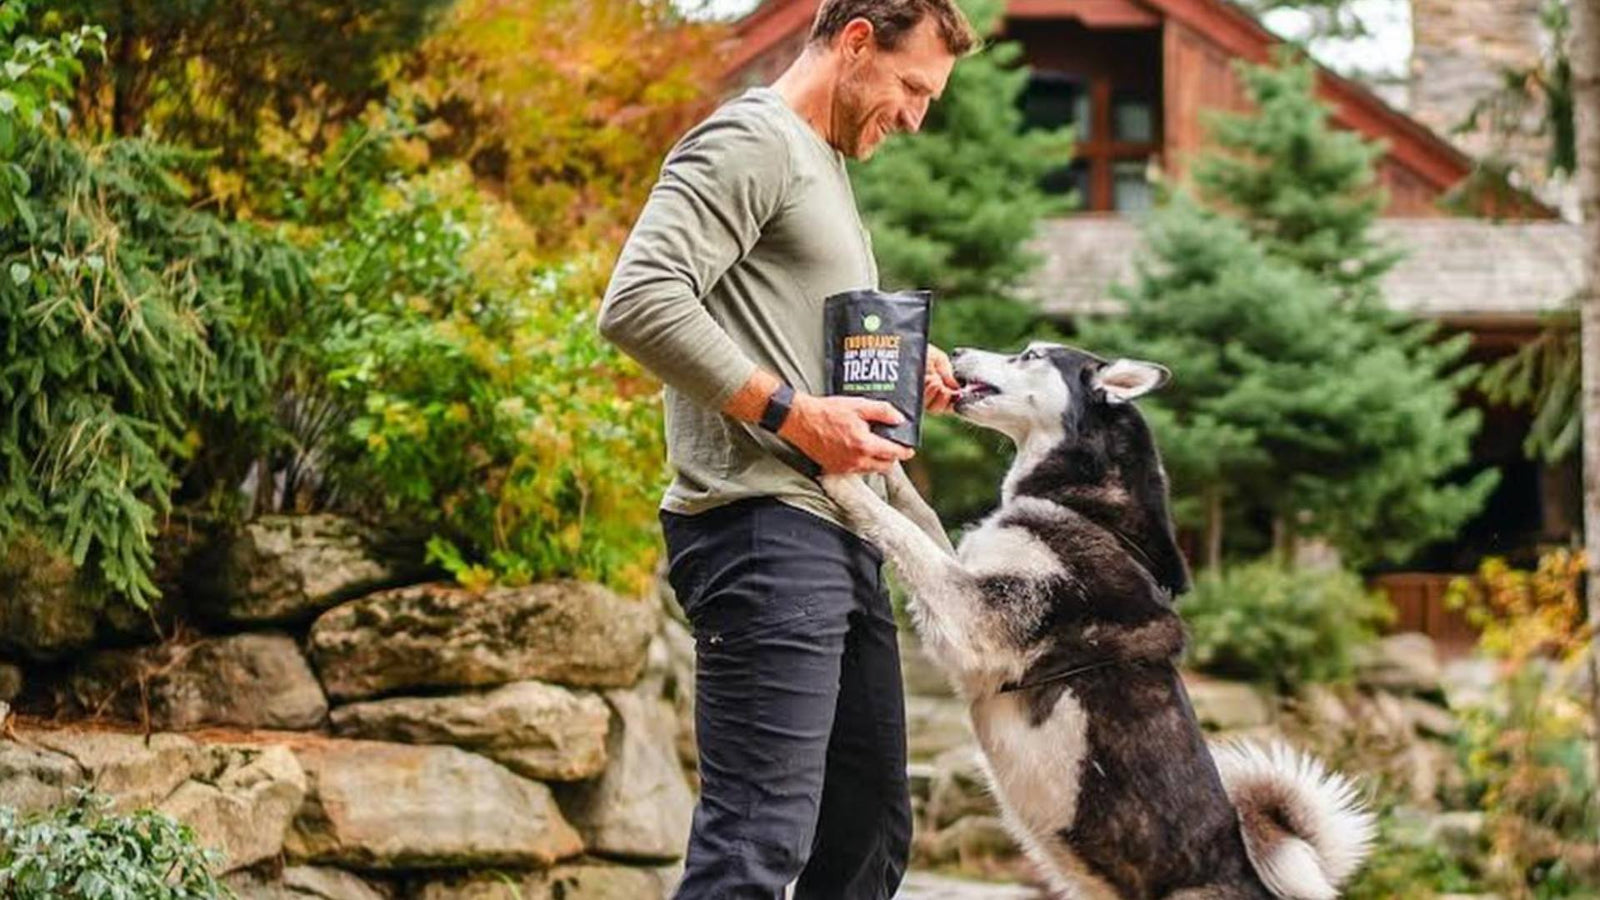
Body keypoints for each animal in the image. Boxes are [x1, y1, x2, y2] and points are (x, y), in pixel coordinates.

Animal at [825, 339, 1376, 890]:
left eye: (1030, 355)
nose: (956, 350)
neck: (1086, 509)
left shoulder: (980, 617)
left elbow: (905, 534)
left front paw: (839, 473)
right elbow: (918, 515)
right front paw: (874, 455)